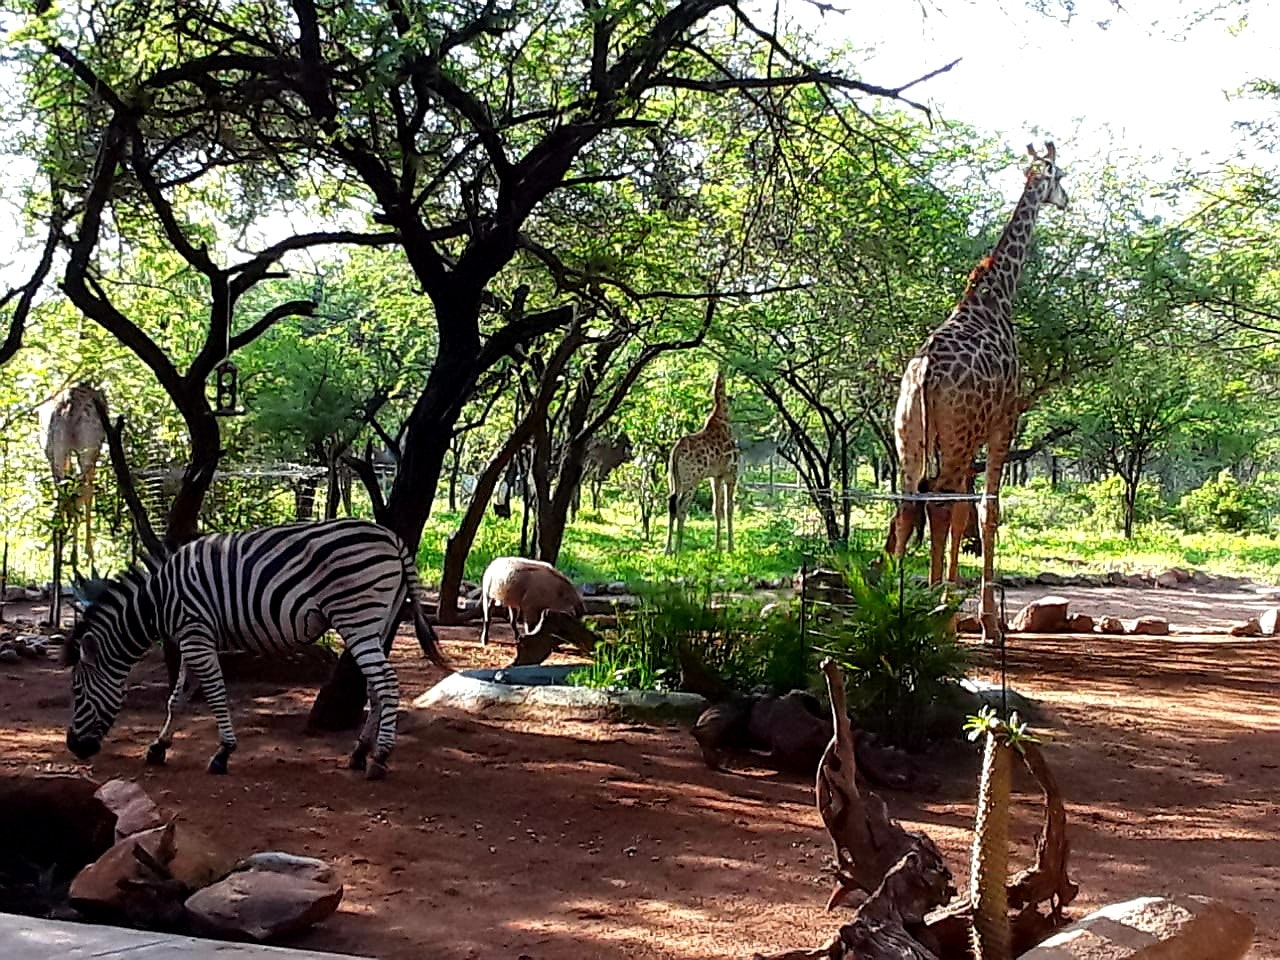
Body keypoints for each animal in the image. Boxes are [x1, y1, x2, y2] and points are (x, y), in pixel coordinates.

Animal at [44, 382, 109, 563]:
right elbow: (87, 494)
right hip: (87, 448)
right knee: (82, 490)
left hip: (56, 450)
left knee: (65, 491)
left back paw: (59, 548)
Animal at [63, 518, 448, 780]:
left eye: (78, 691)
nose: (74, 747)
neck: (158, 600)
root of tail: (393, 538)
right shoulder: (191, 636)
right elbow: (178, 697)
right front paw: (158, 746)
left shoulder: (196, 634)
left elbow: (215, 693)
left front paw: (223, 753)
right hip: (377, 623)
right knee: (376, 687)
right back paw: (359, 752)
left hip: (357, 617)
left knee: (387, 684)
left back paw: (380, 757)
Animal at [665, 370, 738, 555]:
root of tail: (675, 451)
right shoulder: (731, 474)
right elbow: (729, 508)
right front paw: (730, 548)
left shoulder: (715, 477)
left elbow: (716, 509)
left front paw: (717, 548)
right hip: (691, 480)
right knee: (681, 506)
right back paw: (679, 549)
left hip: (674, 479)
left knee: (671, 502)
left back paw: (668, 549)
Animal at [888, 142, 1068, 643]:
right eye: (1061, 175)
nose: (1066, 201)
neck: (998, 295)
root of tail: (925, 371)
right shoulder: (1005, 420)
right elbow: (987, 511)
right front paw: (987, 622)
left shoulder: (970, 438)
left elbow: (962, 514)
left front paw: (957, 608)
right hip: (957, 435)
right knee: (940, 502)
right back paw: (936, 615)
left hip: (909, 437)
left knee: (911, 504)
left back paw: (897, 607)